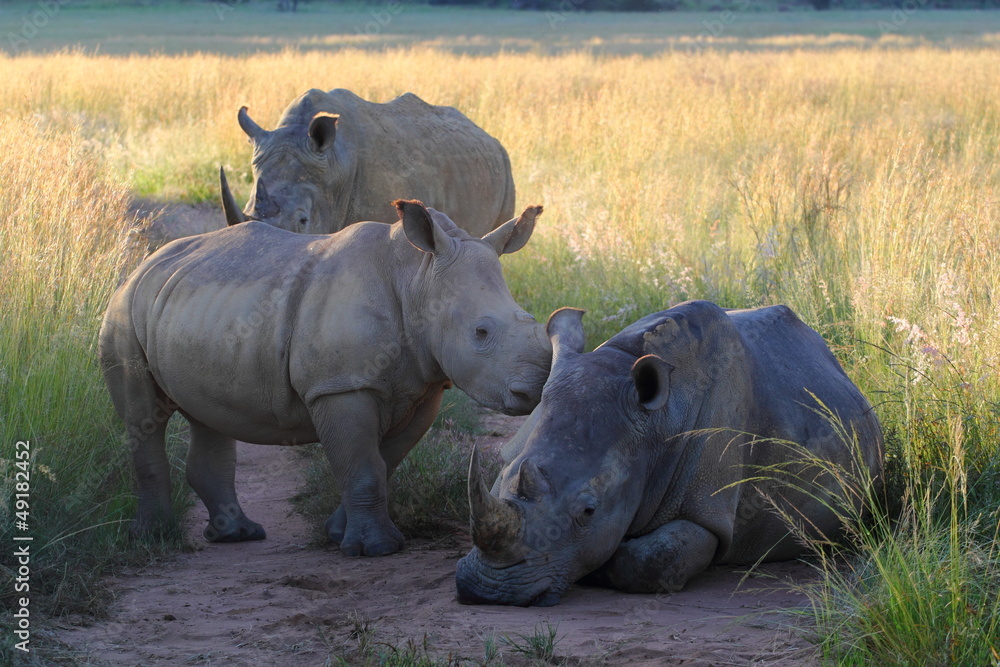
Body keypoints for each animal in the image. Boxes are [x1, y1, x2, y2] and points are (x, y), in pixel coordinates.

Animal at [99, 199, 551, 557]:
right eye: (481, 332)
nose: (533, 390)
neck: (418, 276)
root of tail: (145, 263)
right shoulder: (341, 386)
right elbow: (364, 466)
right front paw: (376, 549)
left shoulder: (425, 387)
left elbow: (383, 462)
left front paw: (339, 534)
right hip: (124, 308)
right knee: (143, 418)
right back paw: (154, 538)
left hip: (194, 307)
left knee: (207, 414)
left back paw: (237, 535)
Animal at [455, 300, 883, 606]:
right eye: (499, 476)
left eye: (589, 511)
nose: (488, 591)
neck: (655, 424)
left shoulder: (708, 512)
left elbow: (653, 558)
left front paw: (602, 566)